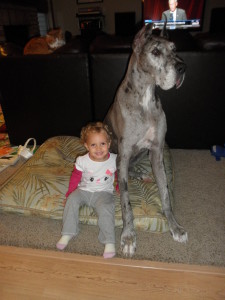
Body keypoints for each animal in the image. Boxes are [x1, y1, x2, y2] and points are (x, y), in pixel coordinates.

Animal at [104, 24, 188, 258]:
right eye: (156, 52)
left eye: (174, 48)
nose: (182, 68)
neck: (145, 98)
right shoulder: (123, 156)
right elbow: (126, 203)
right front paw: (128, 236)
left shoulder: (156, 153)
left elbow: (165, 194)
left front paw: (175, 226)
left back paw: (142, 175)